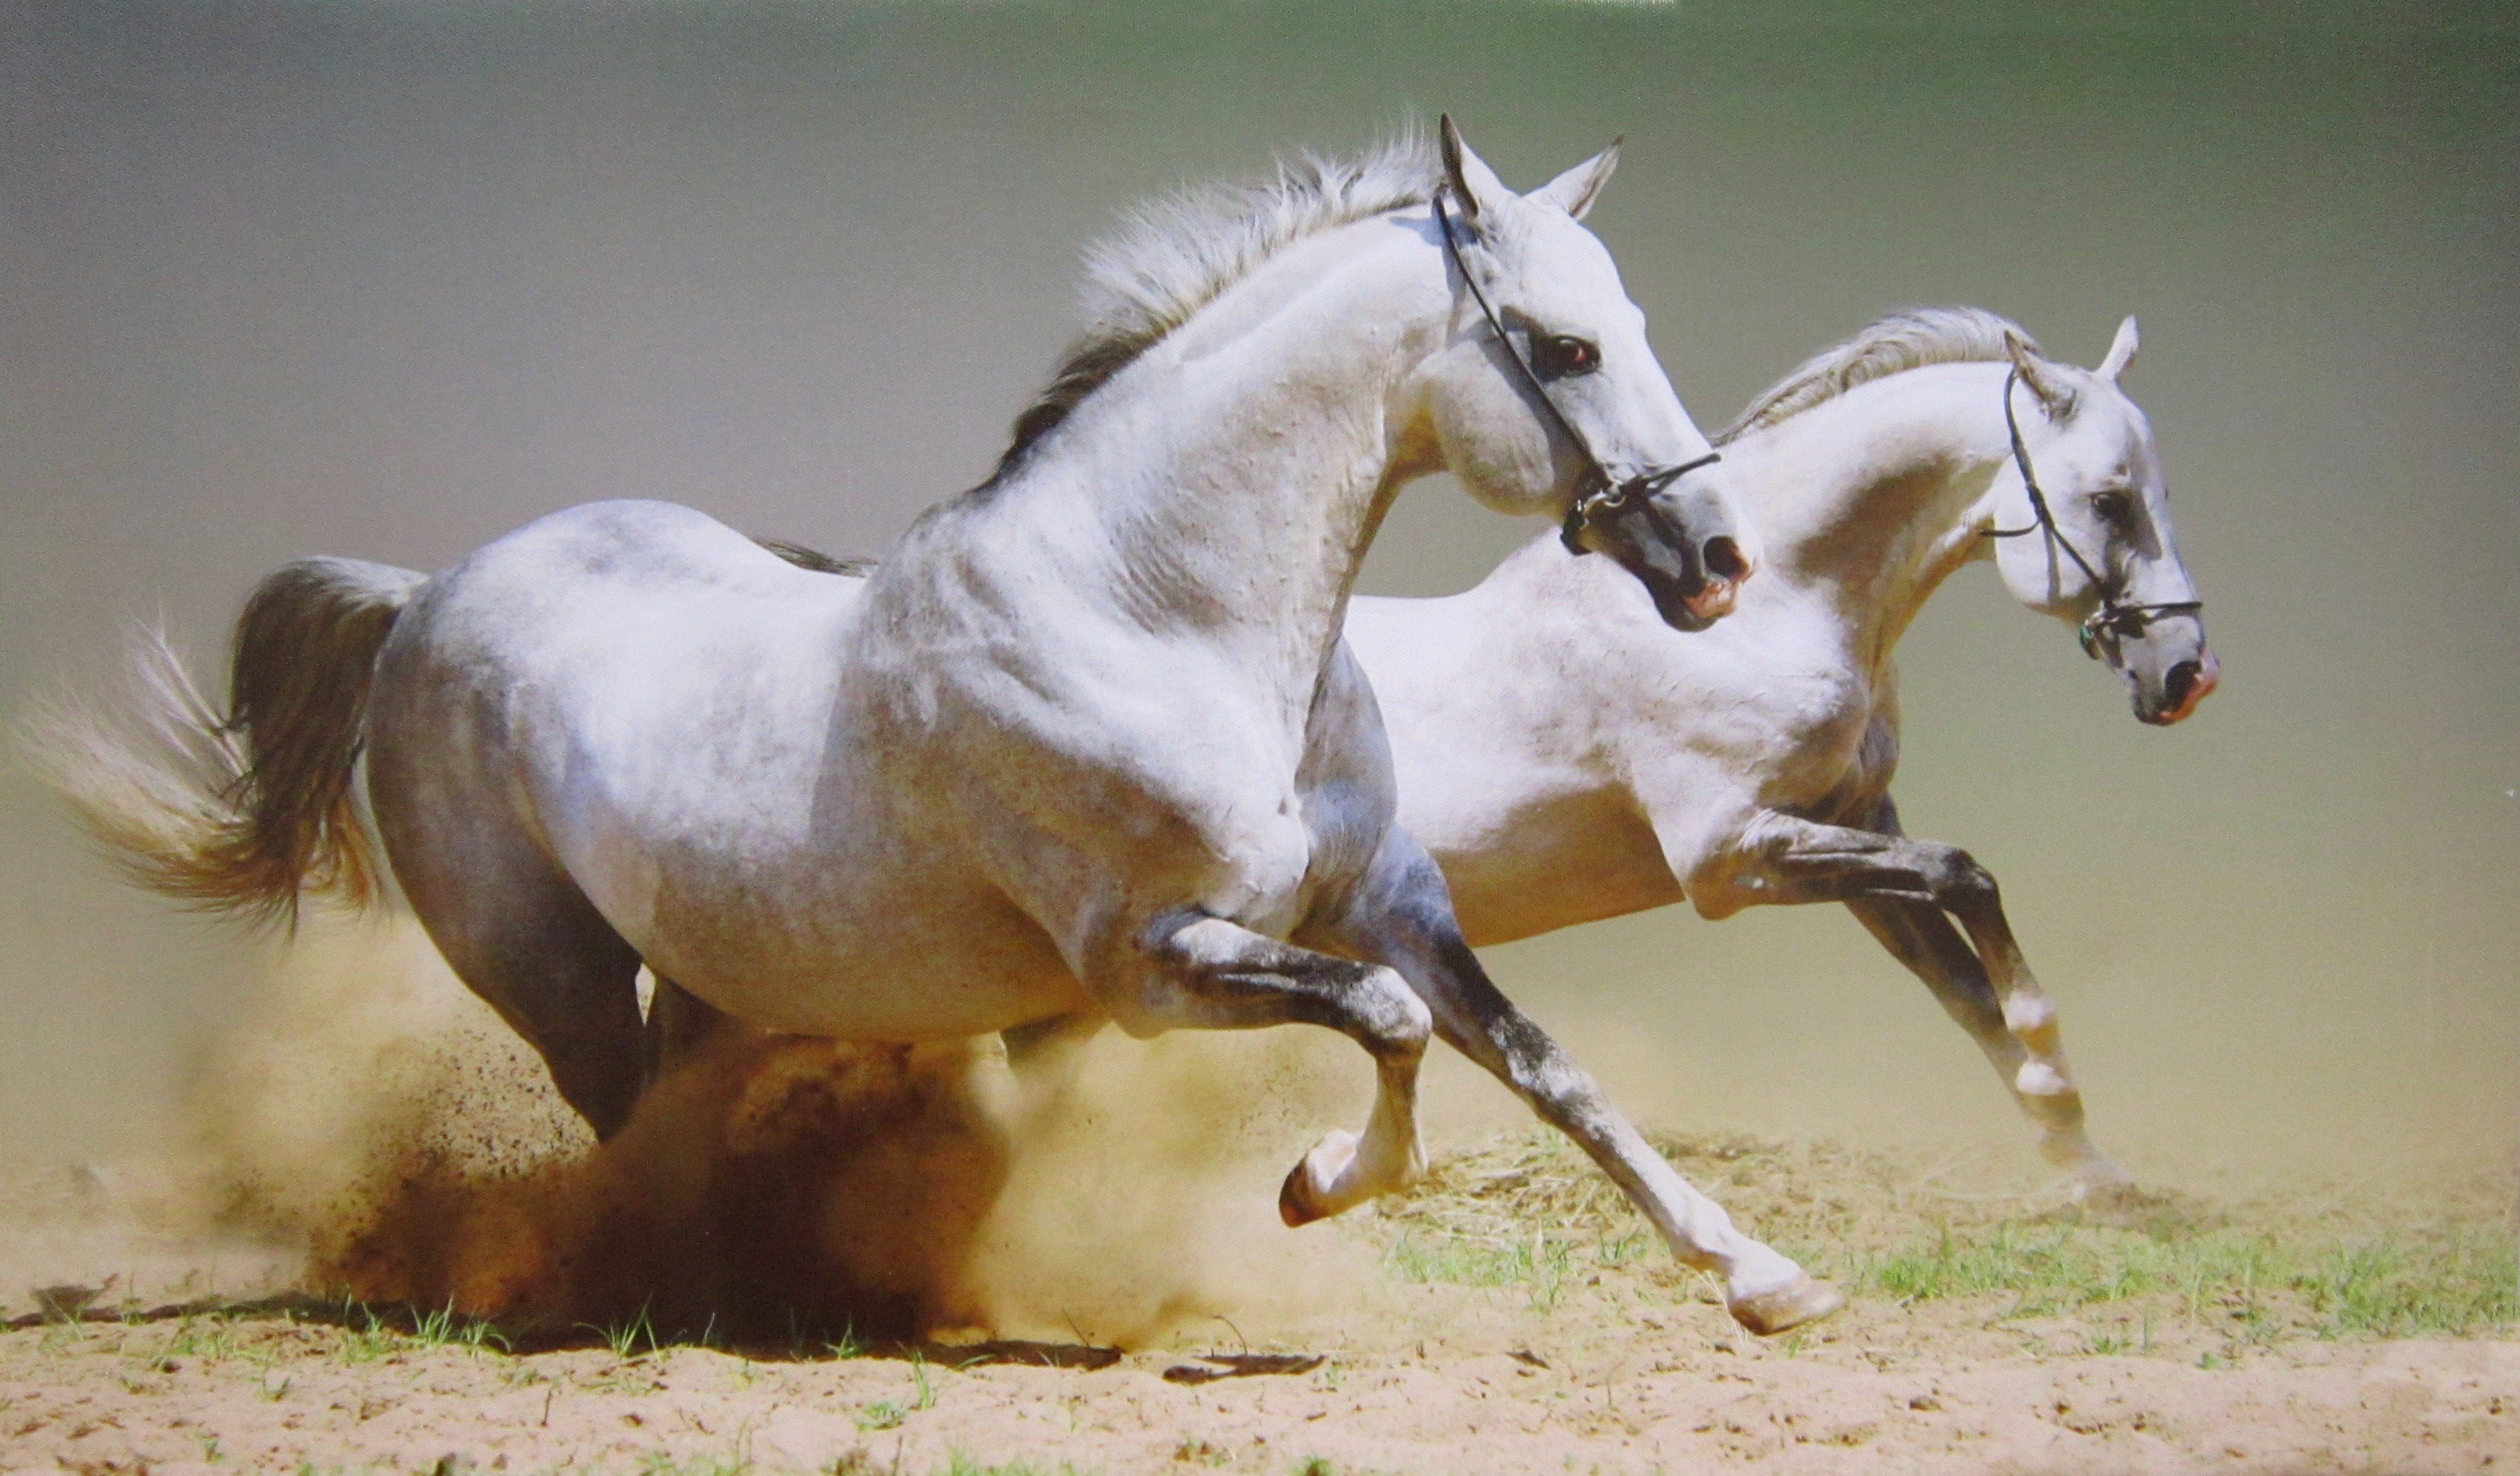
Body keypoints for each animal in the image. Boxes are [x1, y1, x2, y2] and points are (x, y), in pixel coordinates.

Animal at [39, 121, 1845, 1330]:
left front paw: (1762, 1274)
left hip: (713, 972)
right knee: (623, 1132)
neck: (1157, 615)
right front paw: (1312, 1187)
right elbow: (1391, 1031)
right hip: (549, 973)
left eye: (1630, 325)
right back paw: (693, 1288)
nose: (1715, 561)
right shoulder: (1149, 966)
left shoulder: (1388, 896)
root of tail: (423, 595)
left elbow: (1542, 1066)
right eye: (1563, 345)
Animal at [1350, 309, 2217, 1194]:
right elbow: (1964, 875)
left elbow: (1964, 988)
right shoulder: (1728, 857)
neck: (1765, 611)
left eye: (2162, 495)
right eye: (2108, 501)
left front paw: (2087, 1166)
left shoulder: (1854, 828)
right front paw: (2049, 1068)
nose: (2186, 674)